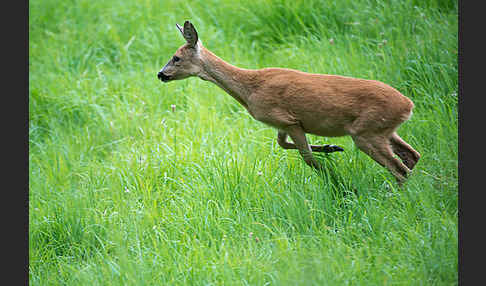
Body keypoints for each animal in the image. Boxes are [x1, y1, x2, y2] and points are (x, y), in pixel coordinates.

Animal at [158, 20, 420, 185]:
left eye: (176, 57)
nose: (160, 74)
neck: (250, 89)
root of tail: (408, 105)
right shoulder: (282, 125)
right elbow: (284, 145)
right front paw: (331, 148)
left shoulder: (287, 119)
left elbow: (307, 158)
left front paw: (337, 181)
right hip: (383, 129)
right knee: (412, 156)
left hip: (366, 132)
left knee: (400, 169)